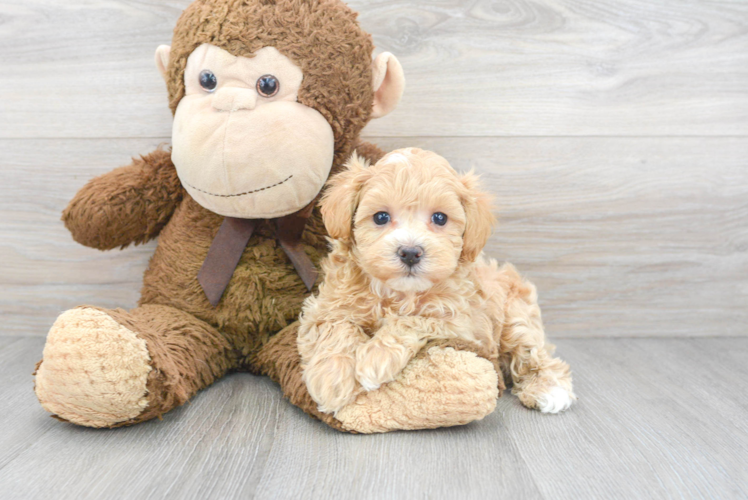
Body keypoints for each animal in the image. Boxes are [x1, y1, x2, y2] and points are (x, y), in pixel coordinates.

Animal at [296, 148, 572, 418]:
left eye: (440, 218)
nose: (410, 252)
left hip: (516, 317)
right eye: (381, 217)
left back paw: (550, 388)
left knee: (532, 352)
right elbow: (336, 327)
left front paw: (375, 358)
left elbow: (413, 320)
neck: (398, 293)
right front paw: (332, 379)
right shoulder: (323, 308)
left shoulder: (463, 324)